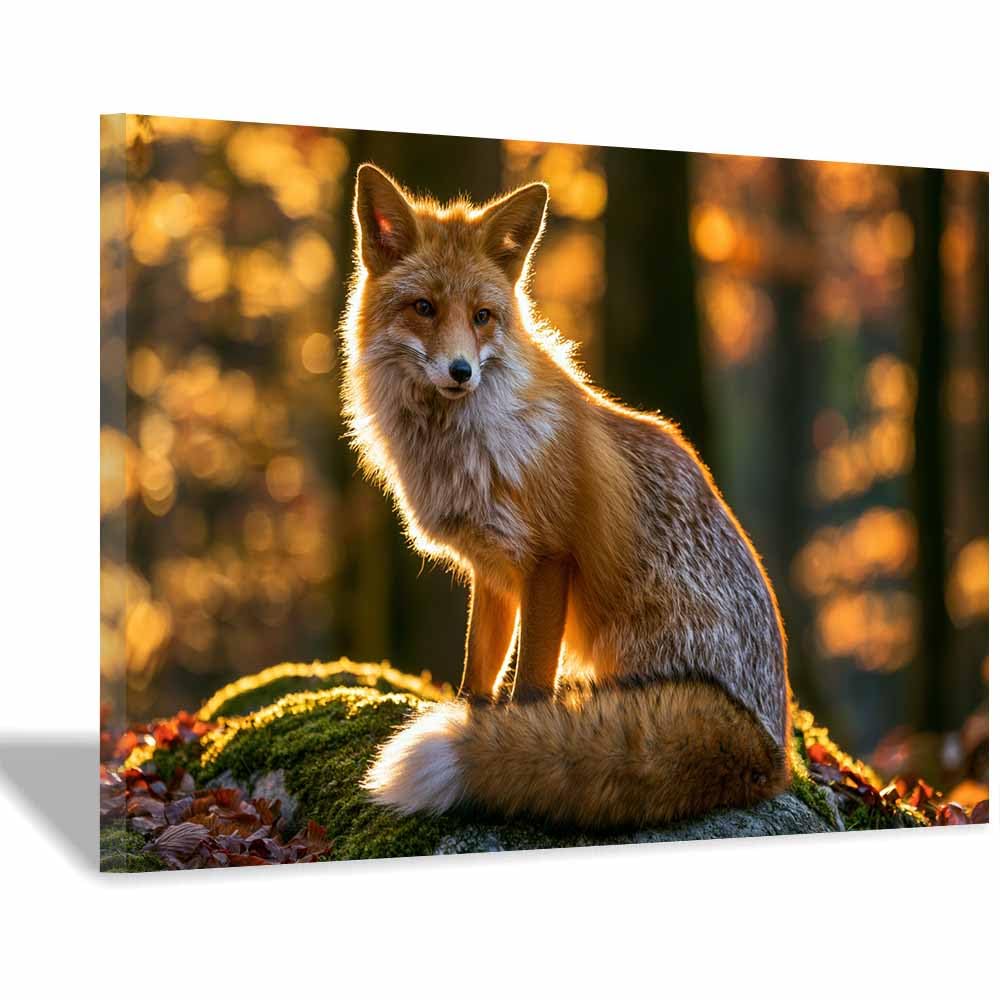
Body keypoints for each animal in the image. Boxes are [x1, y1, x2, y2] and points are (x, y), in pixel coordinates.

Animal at [340, 163, 792, 829]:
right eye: (424, 308)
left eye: (482, 316)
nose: (461, 372)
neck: (466, 448)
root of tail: (772, 751)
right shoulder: (492, 569)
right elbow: (479, 673)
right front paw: (472, 720)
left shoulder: (550, 560)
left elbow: (530, 685)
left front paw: (509, 743)